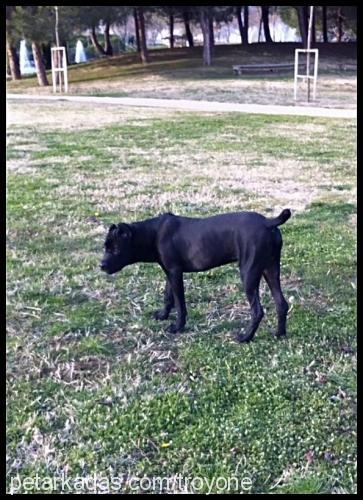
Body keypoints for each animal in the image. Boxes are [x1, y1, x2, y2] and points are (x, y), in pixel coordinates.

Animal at [100, 209, 292, 342]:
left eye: (115, 249)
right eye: (105, 246)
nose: (101, 265)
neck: (152, 234)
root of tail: (268, 222)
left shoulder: (175, 273)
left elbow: (180, 304)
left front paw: (177, 327)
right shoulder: (170, 272)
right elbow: (168, 297)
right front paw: (163, 315)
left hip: (249, 273)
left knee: (257, 311)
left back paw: (245, 337)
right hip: (270, 269)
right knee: (281, 304)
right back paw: (279, 334)